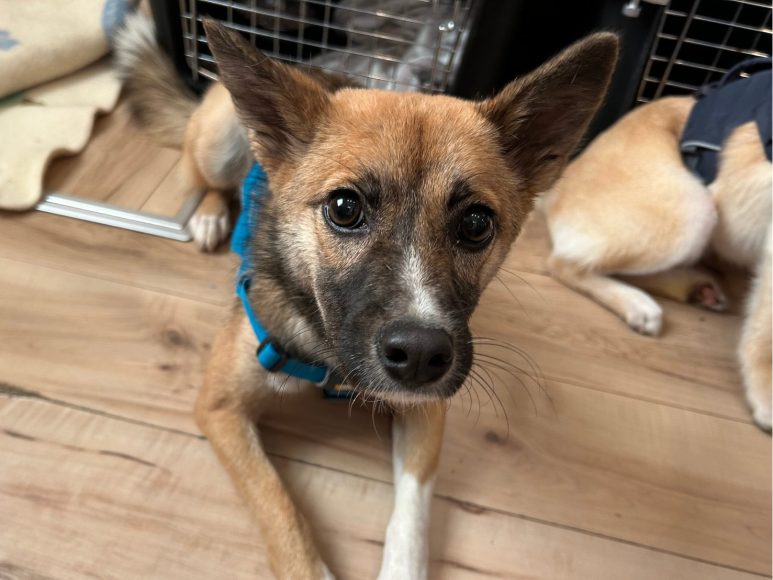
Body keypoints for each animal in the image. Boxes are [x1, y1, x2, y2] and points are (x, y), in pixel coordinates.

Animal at [116, 14, 618, 579]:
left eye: (475, 224)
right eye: (344, 207)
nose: (420, 355)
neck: (329, 355)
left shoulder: (428, 408)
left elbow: (413, 510)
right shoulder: (219, 407)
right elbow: (278, 507)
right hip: (219, 139)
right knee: (202, 176)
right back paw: (206, 213)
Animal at [542, 68, 772, 432]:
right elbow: (766, 334)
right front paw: (766, 396)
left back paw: (695, 288)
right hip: (691, 211)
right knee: (564, 263)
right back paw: (638, 304)